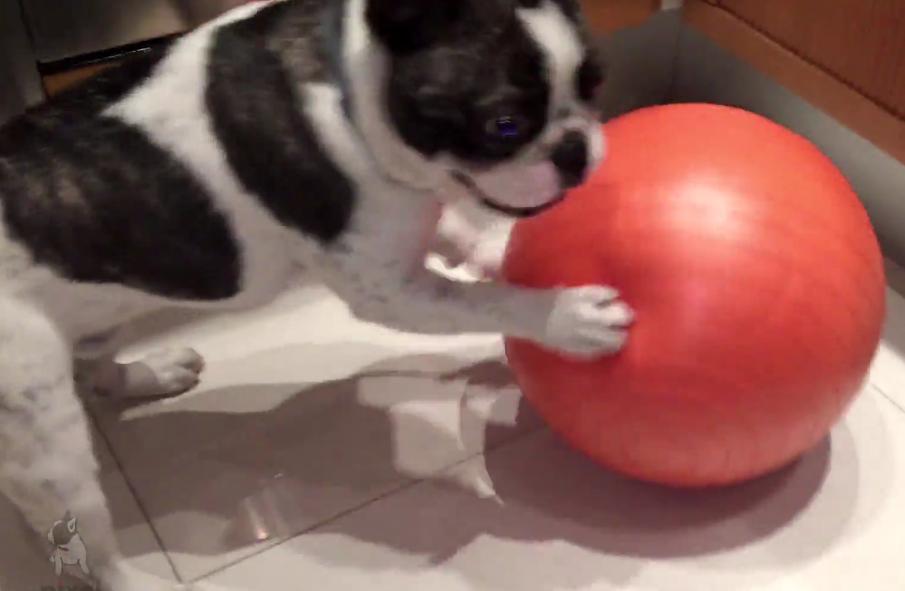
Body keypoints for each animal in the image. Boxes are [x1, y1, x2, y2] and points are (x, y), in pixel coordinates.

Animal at [0, 2, 628, 588]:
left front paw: (498, 249)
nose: (575, 150)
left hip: (97, 313)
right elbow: (488, 301)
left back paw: (148, 373)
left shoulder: (408, 223)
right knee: (91, 551)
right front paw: (567, 318)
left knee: (93, 364)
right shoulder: (389, 289)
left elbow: (463, 236)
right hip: (47, 440)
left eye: (594, 83)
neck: (353, 89)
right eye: (504, 125)